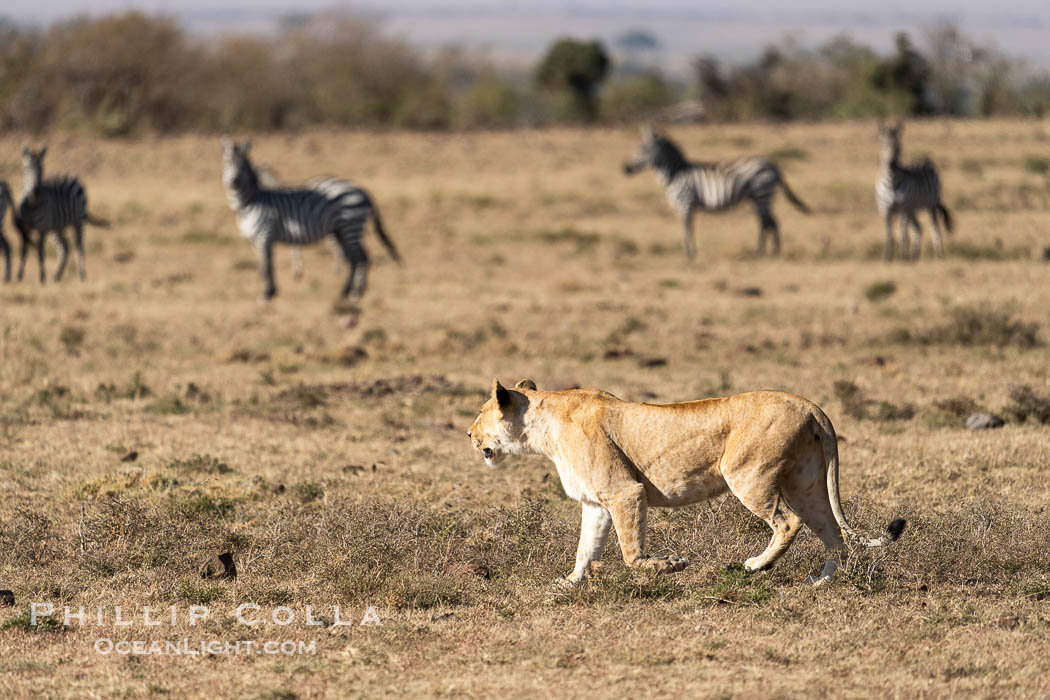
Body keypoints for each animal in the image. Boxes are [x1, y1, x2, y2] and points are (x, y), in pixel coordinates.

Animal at [16, 146, 109, 283]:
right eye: (26, 169)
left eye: (42, 168)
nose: (36, 191)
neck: (32, 205)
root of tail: (70, 175)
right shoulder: (26, 228)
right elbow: (24, 250)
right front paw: (19, 276)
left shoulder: (42, 229)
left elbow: (40, 251)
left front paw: (42, 278)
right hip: (57, 227)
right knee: (64, 248)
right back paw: (57, 275)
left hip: (78, 221)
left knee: (78, 247)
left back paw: (82, 275)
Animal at [221, 137, 400, 300]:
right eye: (226, 163)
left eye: (242, 165)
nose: (234, 182)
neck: (251, 202)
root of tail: (362, 190)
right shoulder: (255, 240)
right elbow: (264, 266)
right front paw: (272, 291)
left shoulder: (264, 235)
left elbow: (266, 266)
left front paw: (267, 294)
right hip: (340, 231)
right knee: (353, 259)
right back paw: (345, 291)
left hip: (351, 225)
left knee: (362, 257)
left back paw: (357, 293)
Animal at [468, 379, 905, 586]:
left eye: (480, 413)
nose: (469, 435)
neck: (543, 429)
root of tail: (812, 406)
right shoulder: (595, 503)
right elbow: (585, 550)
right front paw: (569, 584)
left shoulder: (624, 492)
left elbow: (630, 553)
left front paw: (669, 564)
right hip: (807, 485)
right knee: (834, 535)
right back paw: (821, 582)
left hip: (747, 474)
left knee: (787, 523)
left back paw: (756, 565)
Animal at [623, 127, 810, 258]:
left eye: (641, 149)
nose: (624, 169)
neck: (675, 174)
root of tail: (774, 166)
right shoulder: (688, 207)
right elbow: (690, 229)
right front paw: (692, 253)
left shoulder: (685, 204)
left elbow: (686, 229)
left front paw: (688, 255)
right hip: (757, 198)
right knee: (766, 223)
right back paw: (764, 252)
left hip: (762, 194)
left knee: (769, 223)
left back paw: (770, 253)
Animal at [876, 121, 953, 260]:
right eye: (884, 145)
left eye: (899, 147)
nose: (892, 165)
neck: (891, 182)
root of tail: (924, 159)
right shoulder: (885, 209)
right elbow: (889, 233)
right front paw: (888, 256)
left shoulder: (903, 208)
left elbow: (903, 233)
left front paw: (902, 255)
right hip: (913, 209)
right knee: (918, 228)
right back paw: (914, 256)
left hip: (930, 205)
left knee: (935, 228)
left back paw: (939, 254)